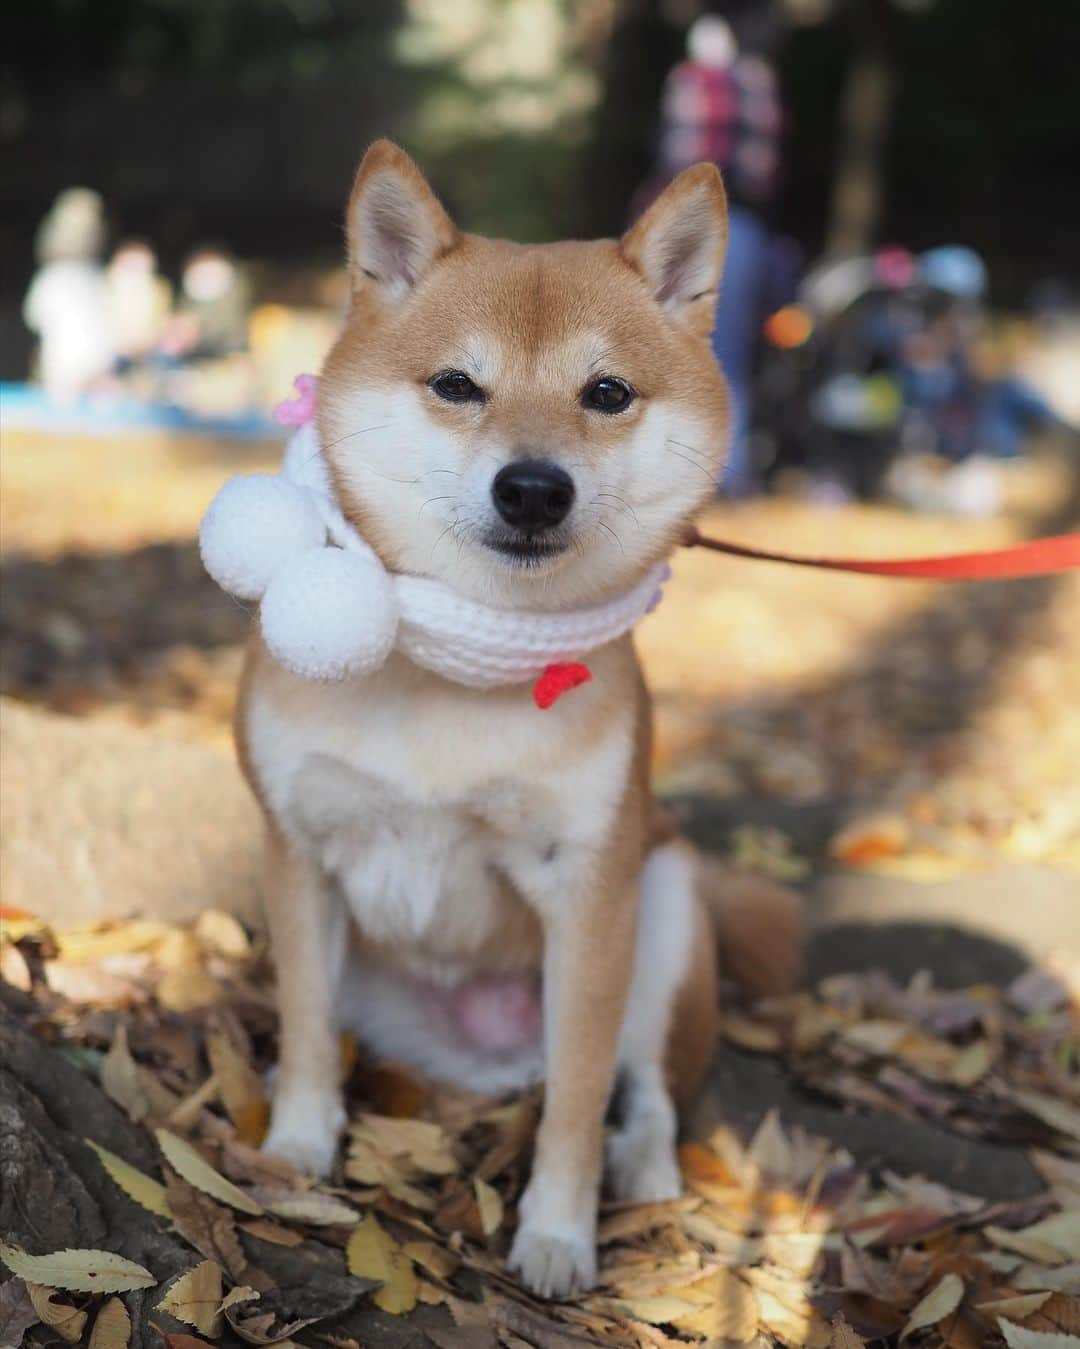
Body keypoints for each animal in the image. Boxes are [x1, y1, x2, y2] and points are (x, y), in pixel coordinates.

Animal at [238, 142, 798, 1300]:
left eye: (607, 393)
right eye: (458, 383)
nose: (534, 487)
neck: (459, 665)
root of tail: (493, 1055)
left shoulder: (589, 898)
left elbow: (580, 1101)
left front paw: (557, 1231)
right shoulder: (298, 852)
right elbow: (308, 1025)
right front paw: (297, 1142)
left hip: (665, 904)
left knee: (647, 1086)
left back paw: (645, 1165)